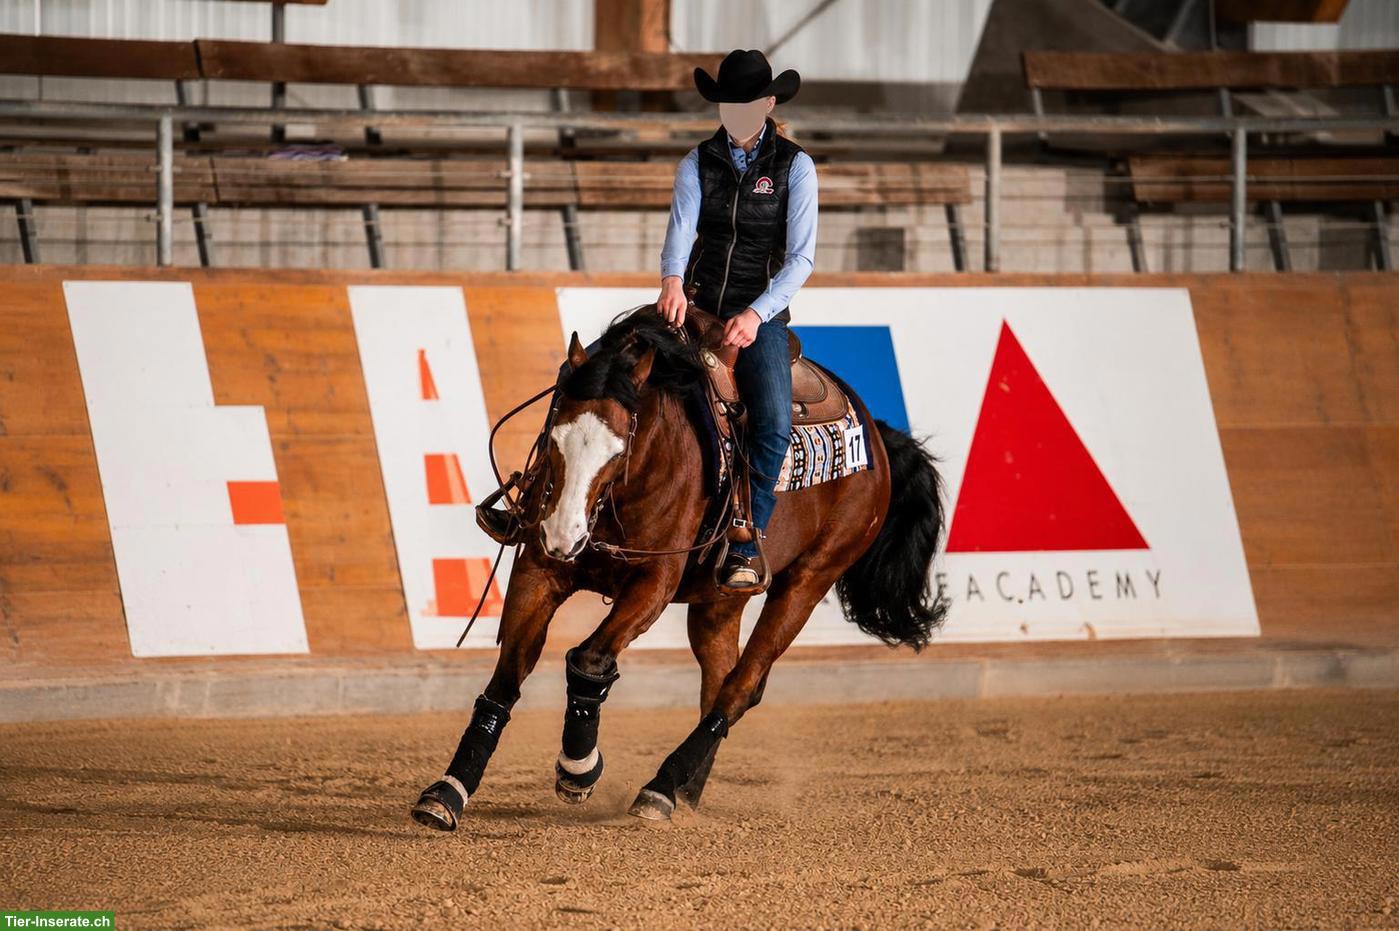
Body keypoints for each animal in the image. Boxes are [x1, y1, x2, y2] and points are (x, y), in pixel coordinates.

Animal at [411, 307, 948, 829]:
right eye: (554, 435)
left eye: (619, 449)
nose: (565, 536)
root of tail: (875, 434)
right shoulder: (539, 568)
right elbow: (505, 679)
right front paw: (449, 790)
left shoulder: (653, 583)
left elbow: (590, 661)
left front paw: (578, 769)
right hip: (718, 602)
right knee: (719, 682)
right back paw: (686, 789)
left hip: (809, 581)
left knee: (741, 685)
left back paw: (662, 787)